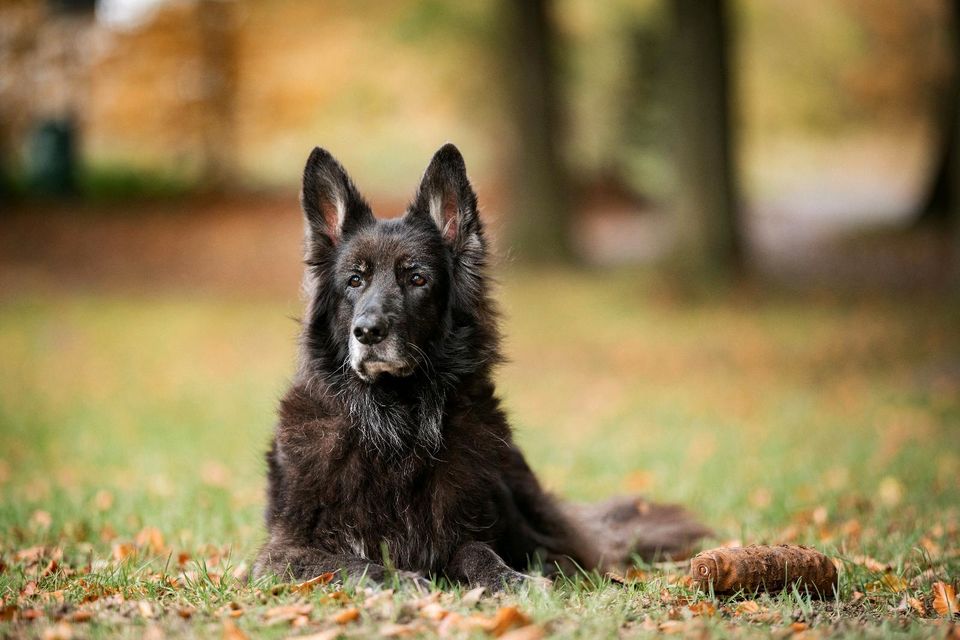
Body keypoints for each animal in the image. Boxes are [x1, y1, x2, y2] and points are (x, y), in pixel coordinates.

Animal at [251, 145, 708, 592]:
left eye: (417, 279)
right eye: (354, 280)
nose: (367, 332)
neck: (398, 427)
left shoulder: (471, 531)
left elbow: (477, 550)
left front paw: (510, 578)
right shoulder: (281, 555)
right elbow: (355, 565)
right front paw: (404, 581)